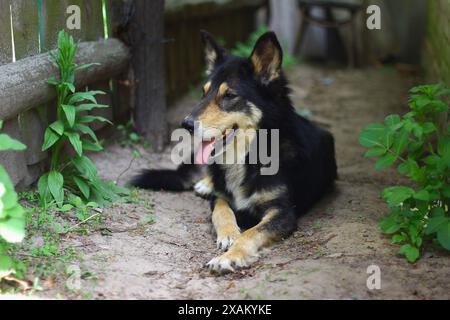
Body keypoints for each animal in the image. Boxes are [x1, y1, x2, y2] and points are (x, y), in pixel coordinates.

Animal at [128, 30, 336, 272]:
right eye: (204, 93)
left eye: (229, 96)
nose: (186, 124)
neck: (248, 155)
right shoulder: (220, 197)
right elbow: (221, 211)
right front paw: (228, 234)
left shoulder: (283, 212)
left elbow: (251, 233)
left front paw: (229, 257)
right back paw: (205, 183)